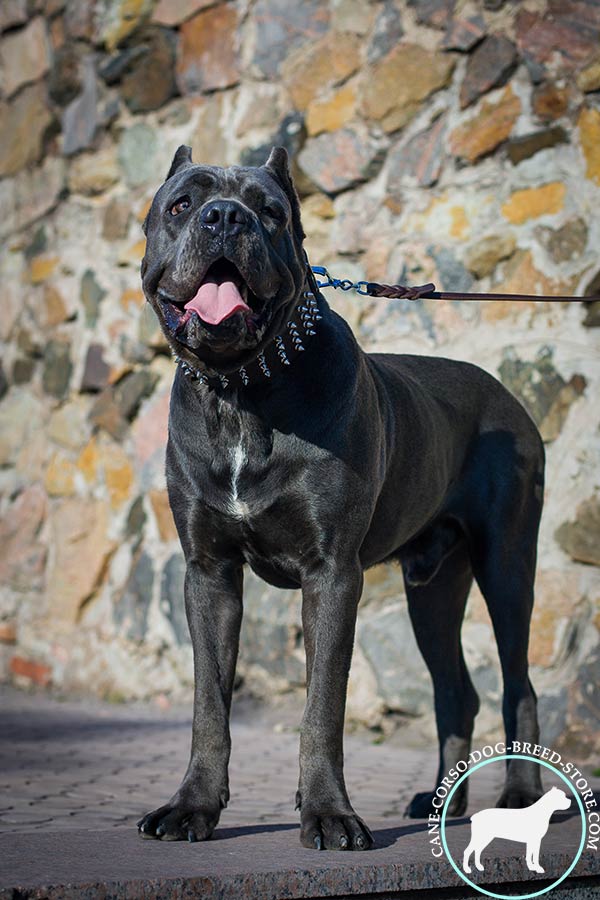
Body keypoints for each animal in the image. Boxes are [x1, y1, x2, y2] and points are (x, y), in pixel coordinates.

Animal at [138, 144, 548, 848]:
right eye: (183, 204)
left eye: (271, 212)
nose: (226, 217)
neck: (241, 391)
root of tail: (510, 397)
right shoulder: (209, 571)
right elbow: (208, 702)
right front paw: (192, 806)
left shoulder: (331, 574)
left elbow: (323, 703)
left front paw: (328, 813)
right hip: (433, 587)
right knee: (455, 692)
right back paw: (441, 801)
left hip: (507, 565)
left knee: (517, 685)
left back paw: (519, 798)